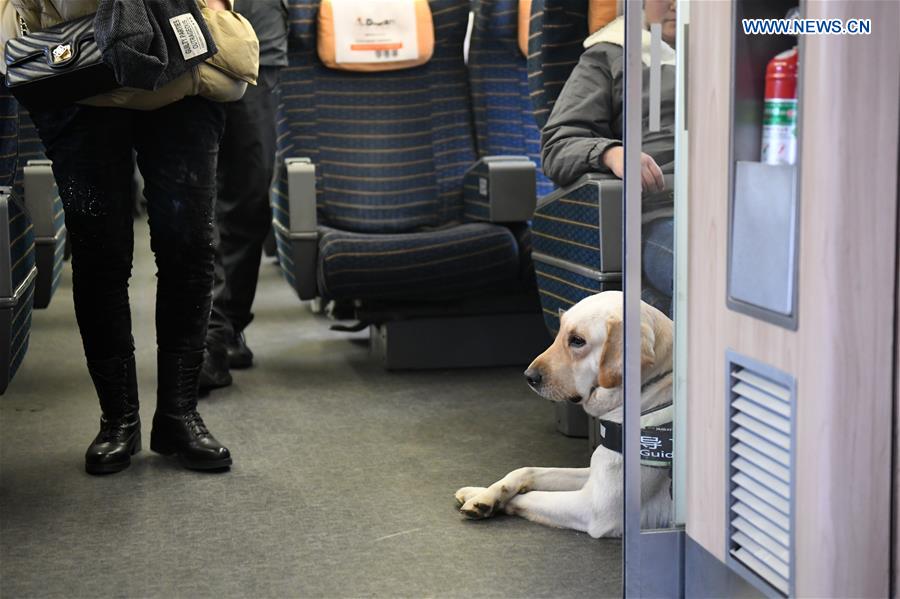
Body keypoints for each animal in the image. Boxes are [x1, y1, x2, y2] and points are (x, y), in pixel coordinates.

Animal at [454, 292, 672, 540]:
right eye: (558, 334)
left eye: (577, 340)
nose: (528, 376)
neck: (649, 389)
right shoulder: (592, 474)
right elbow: (526, 470)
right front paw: (481, 494)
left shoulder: (595, 508)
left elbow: (529, 496)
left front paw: (496, 502)